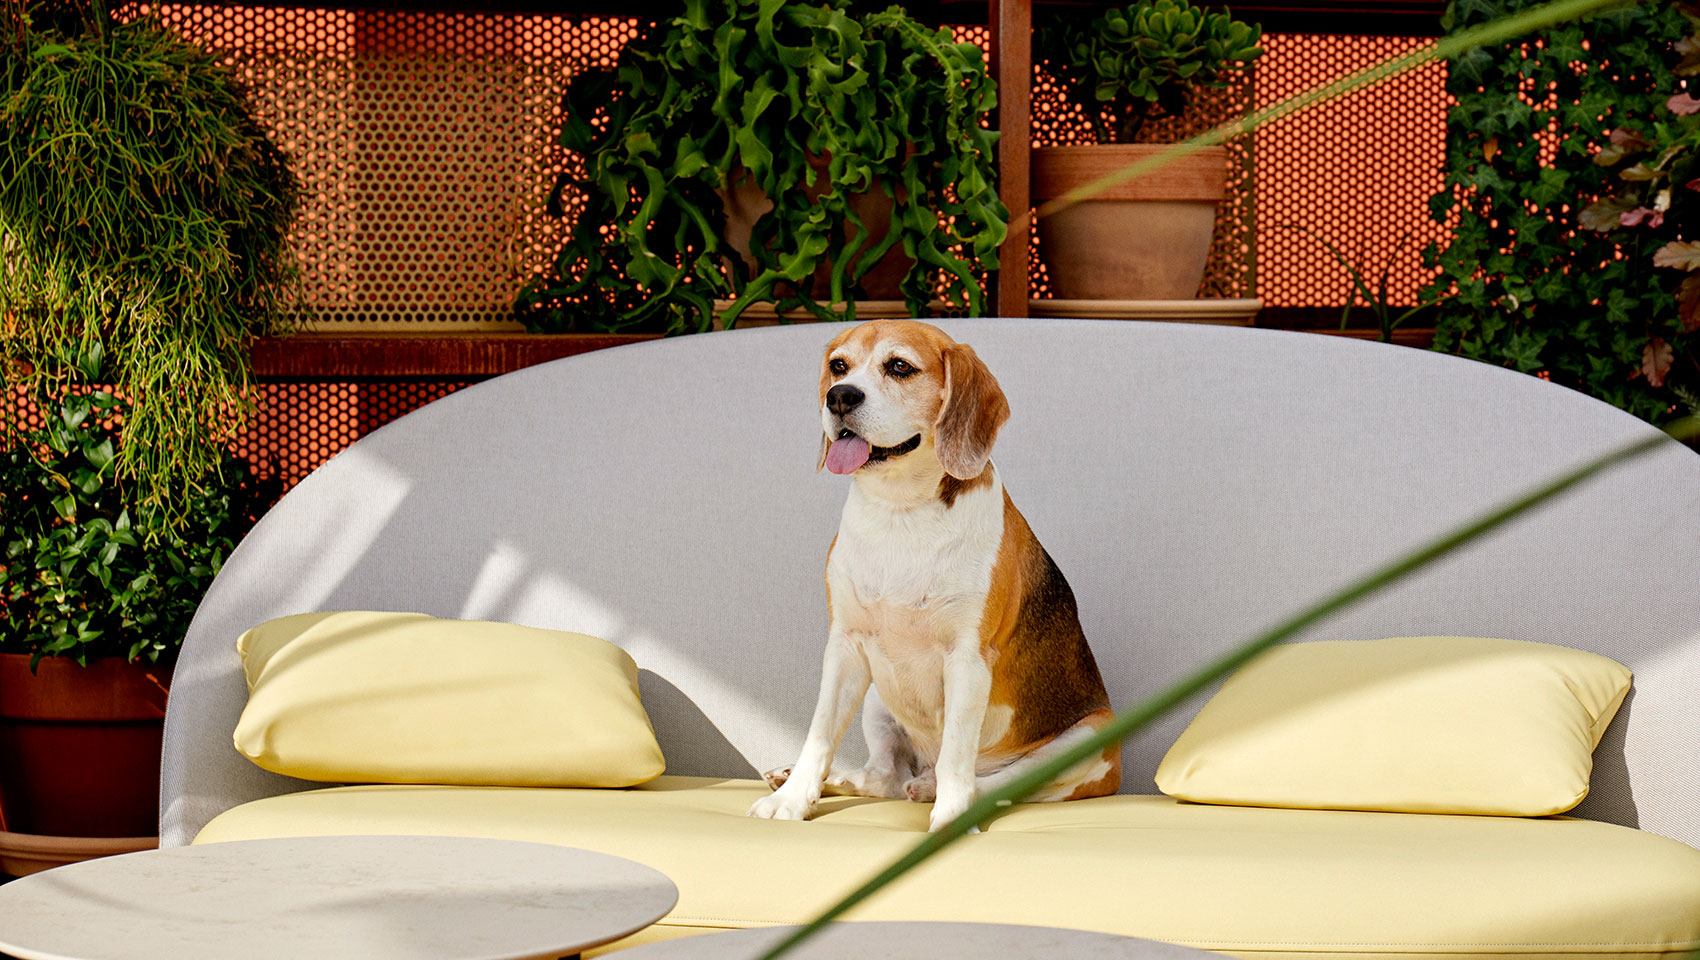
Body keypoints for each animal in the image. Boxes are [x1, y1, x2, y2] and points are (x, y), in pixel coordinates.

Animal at [744, 319, 1115, 832]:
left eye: (900, 367)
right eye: (838, 366)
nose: (839, 397)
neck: (901, 513)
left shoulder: (968, 658)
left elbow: (957, 755)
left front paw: (950, 819)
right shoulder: (845, 647)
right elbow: (819, 735)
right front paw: (793, 798)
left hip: (1091, 736)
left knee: (991, 783)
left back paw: (935, 790)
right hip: (878, 693)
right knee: (884, 777)